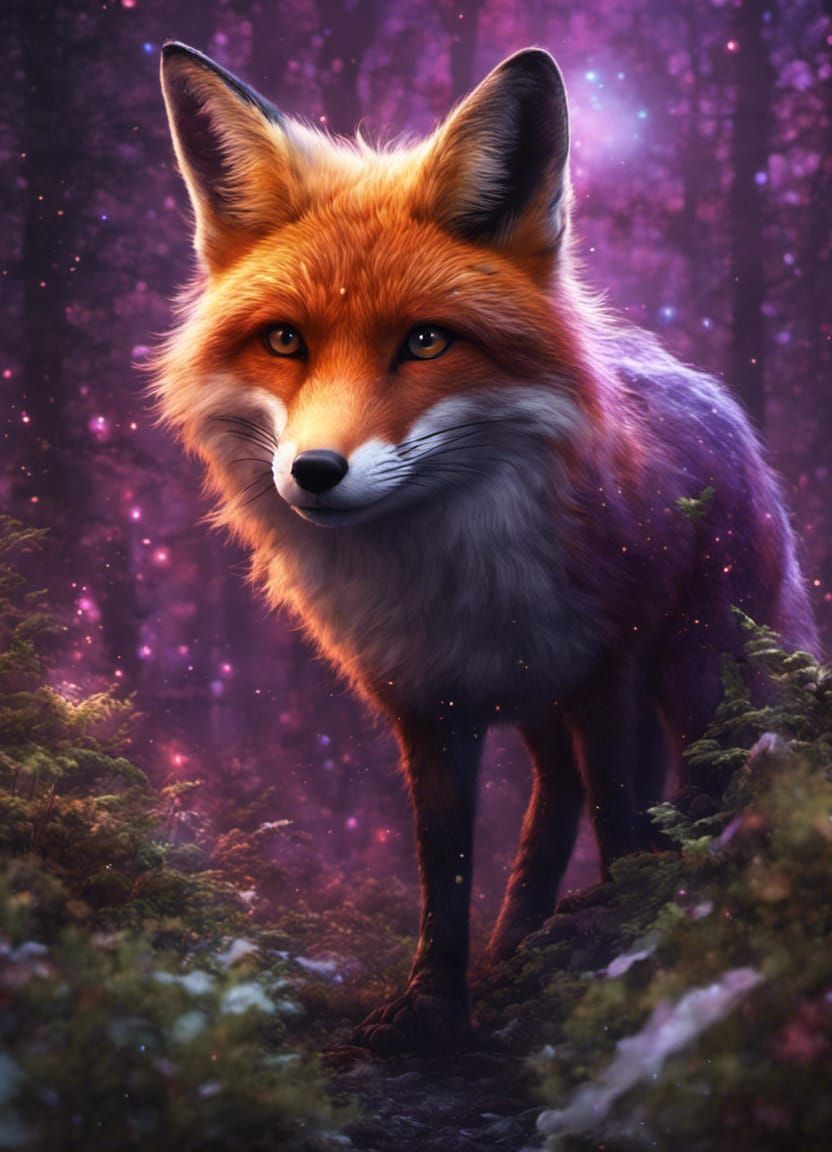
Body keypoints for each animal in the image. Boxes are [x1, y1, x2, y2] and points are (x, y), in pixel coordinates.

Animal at [155, 42, 818, 1055]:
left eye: (426, 341)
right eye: (284, 340)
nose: (314, 472)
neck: (455, 576)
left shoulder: (610, 669)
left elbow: (624, 813)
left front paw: (620, 958)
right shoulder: (426, 701)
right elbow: (445, 869)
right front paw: (434, 1006)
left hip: (697, 673)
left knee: (689, 786)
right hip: (544, 702)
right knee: (554, 798)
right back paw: (518, 949)